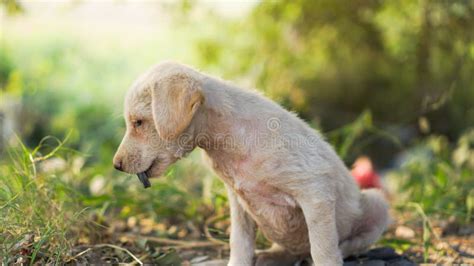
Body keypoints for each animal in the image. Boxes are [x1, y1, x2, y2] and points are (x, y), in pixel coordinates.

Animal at [114, 61, 388, 264]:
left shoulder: (314, 191)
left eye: (138, 122)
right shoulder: (239, 202)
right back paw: (272, 256)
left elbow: (323, 249)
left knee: (341, 245)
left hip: (377, 203)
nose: (116, 166)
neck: (228, 136)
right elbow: (240, 243)